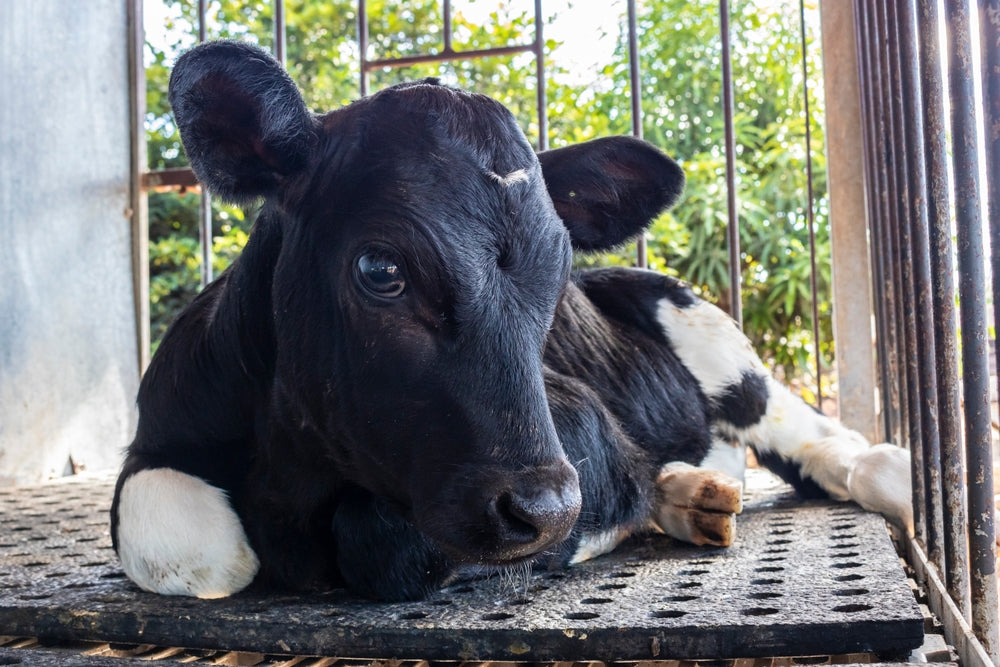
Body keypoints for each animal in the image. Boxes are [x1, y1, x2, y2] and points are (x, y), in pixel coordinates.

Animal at [110, 40, 912, 603]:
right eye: (379, 269)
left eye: (557, 270)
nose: (547, 506)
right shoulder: (159, 437)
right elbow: (195, 547)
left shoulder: (577, 425)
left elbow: (385, 542)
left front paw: (595, 528)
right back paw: (690, 497)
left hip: (708, 334)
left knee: (812, 434)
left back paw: (891, 474)